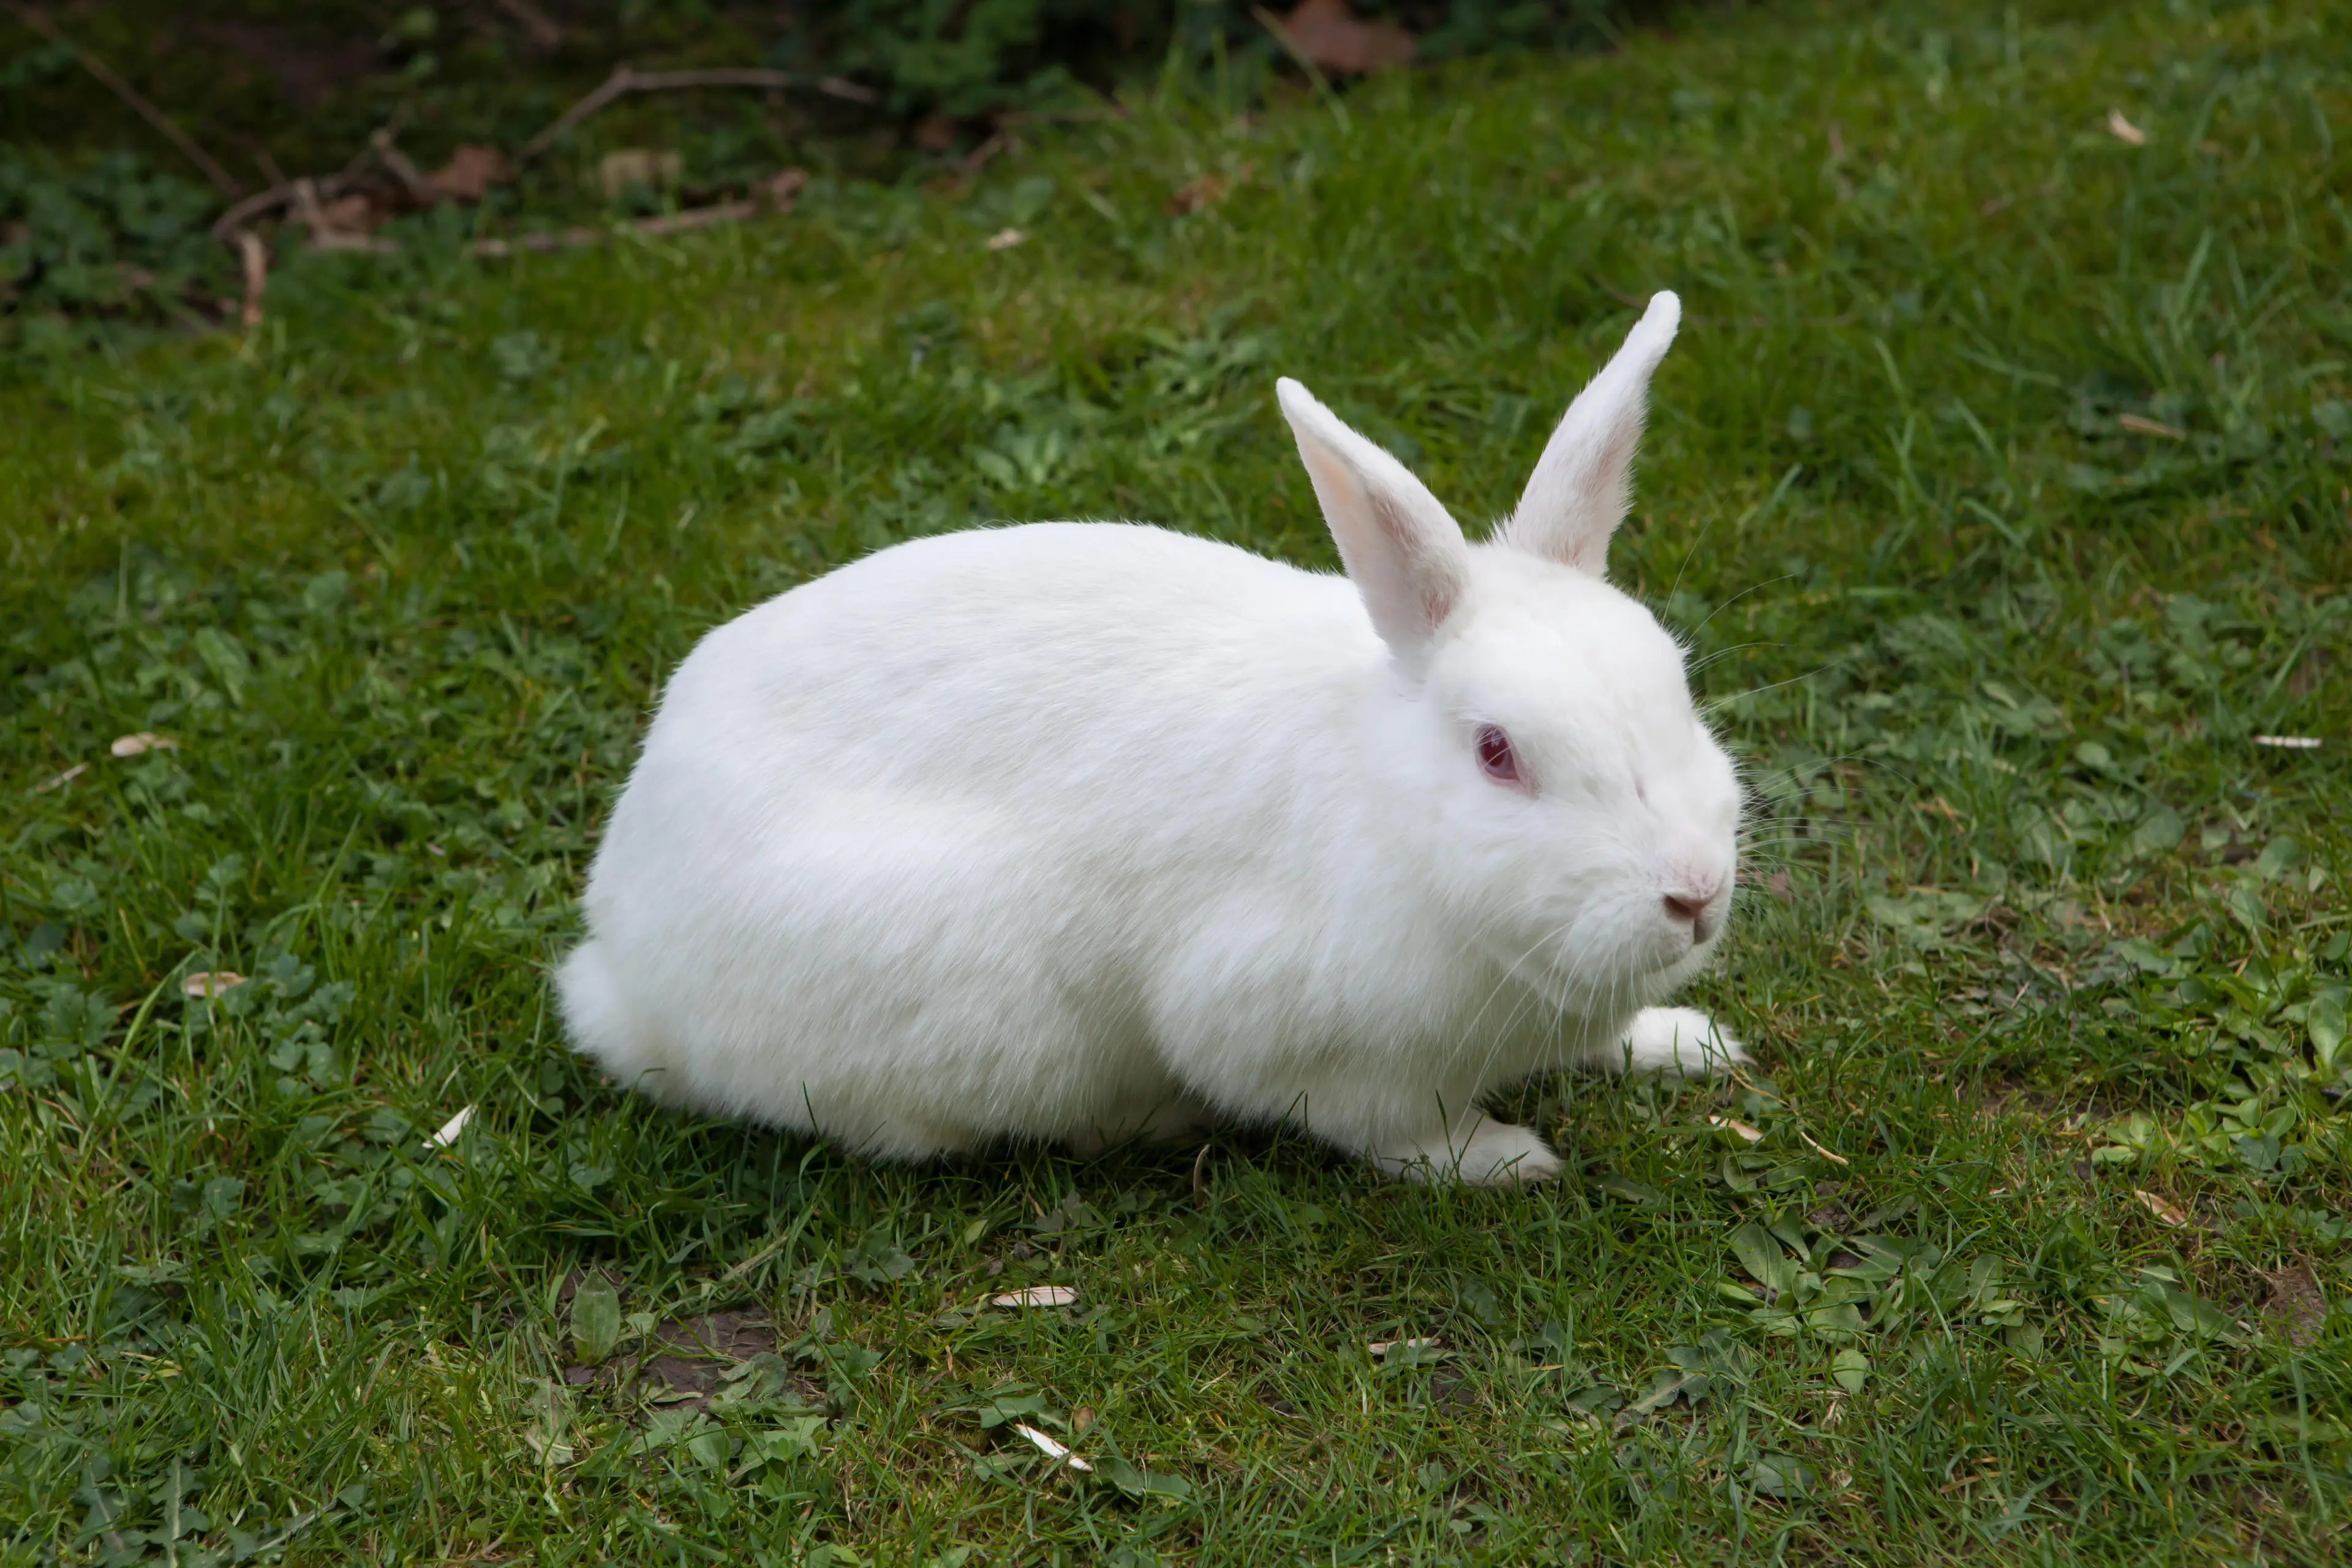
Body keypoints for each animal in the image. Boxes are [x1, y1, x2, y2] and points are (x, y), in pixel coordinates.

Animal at [559, 291, 1748, 1186]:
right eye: (1498, 753)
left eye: (1677, 684)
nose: (1694, 895)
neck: (1394, 818)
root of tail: (617, 960)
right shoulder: (1295, 1035)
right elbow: (1392, 1128)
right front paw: (1506, 1159)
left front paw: (1688, 1045)